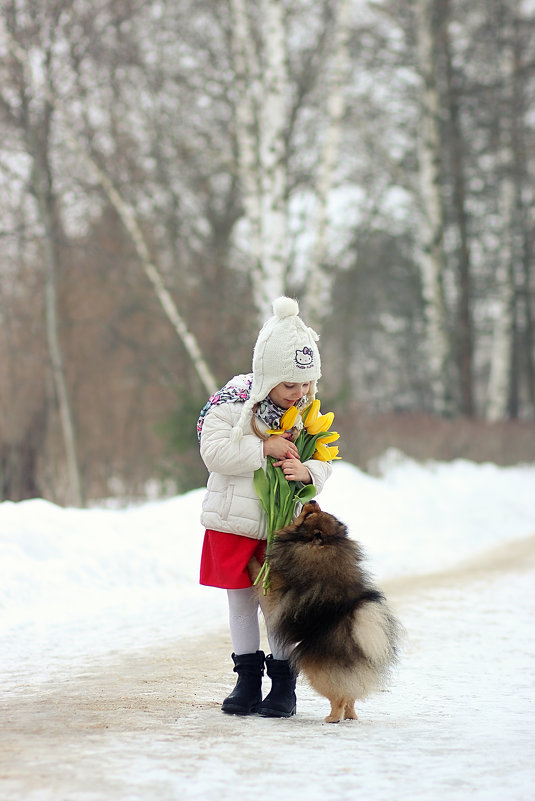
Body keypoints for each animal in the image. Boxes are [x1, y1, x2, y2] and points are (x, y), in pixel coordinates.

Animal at [249, 500, 400, 720]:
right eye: (316, 510)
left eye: (309, 515)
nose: (312, 500)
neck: (327, 545)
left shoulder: (274, 592)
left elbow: (260, 576)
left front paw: (252, 560)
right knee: (351, 697)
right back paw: (350, 716)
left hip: (318, 674)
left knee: (340, 697)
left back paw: (333, 718)